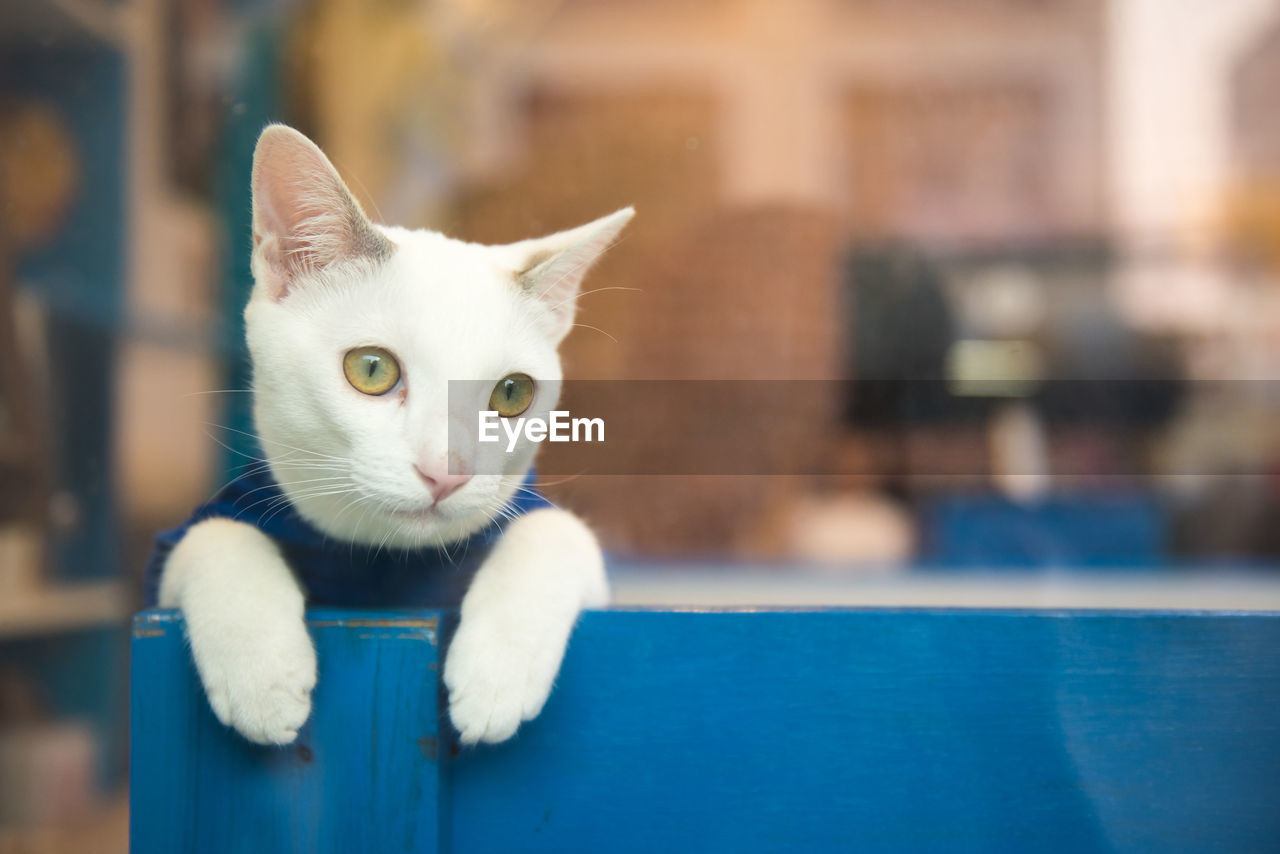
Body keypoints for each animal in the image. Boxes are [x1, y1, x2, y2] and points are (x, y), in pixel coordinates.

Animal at [149, 125, 629, 747]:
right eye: (372, 369)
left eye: (512, 394)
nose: (446, 471)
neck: (385, 569)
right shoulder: (166, 567)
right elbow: (213, 534)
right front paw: (261, 674)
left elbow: (556, 528)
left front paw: (497, 673)